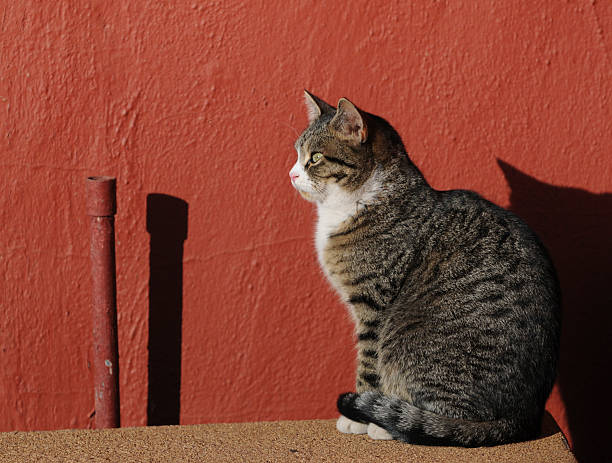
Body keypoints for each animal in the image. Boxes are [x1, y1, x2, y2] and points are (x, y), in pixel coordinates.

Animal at [290, 92, 560, 448]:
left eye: (316, 157)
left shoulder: (374, 304)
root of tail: (523, 417)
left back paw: (389, 423)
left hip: (409, 343)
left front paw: (357, 419)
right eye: (298, 154)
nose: (292, 174)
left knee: (453, 421)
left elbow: (368, 363)